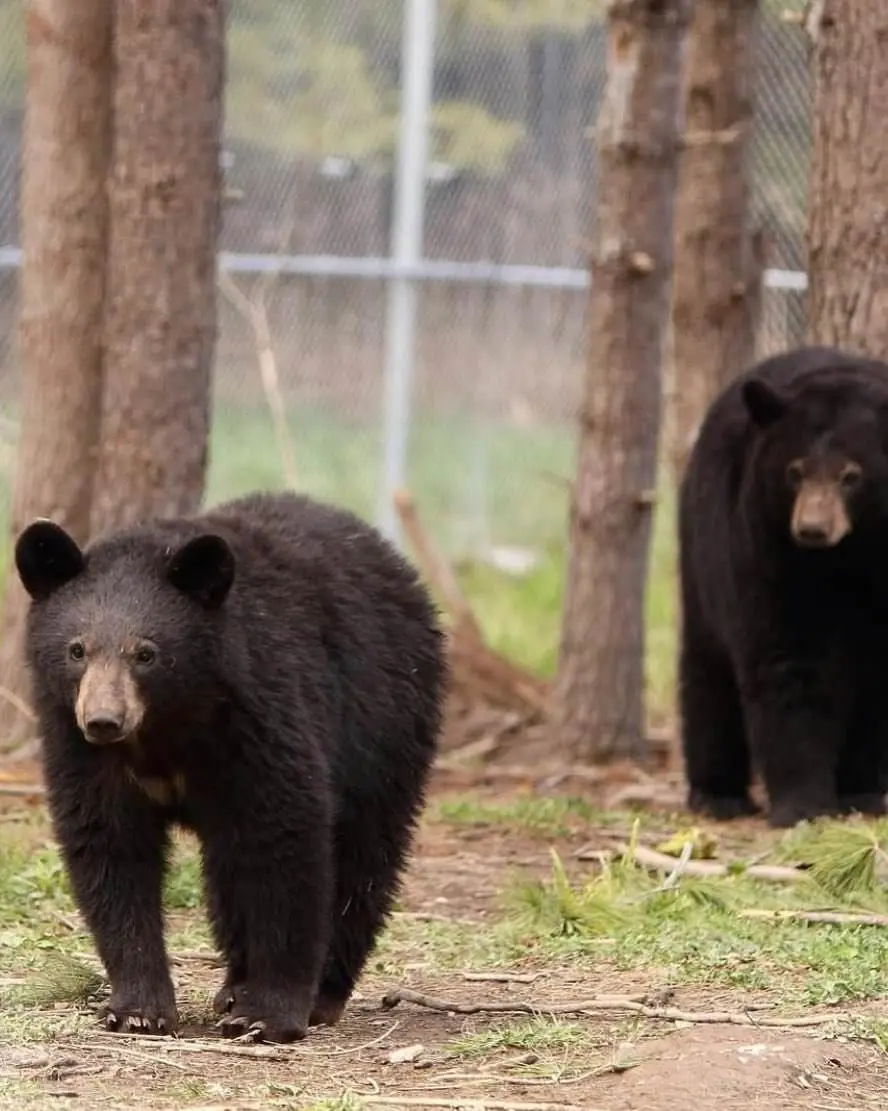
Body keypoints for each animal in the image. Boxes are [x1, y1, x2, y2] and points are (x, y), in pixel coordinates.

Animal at [14, 490, 448, 1042]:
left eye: (146, 654)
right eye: (77, 649)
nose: (104, 720)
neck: (166, 725)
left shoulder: (260, 715)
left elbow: (284, 842)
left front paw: (269, 1015)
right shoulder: (81, 752)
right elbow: (109, 848)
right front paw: (138, 1008)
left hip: (385, 721)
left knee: (363, 857)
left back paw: (322, 993)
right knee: (228, 871)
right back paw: (234, 985)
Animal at [679, 344, 888, 829]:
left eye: (852, 476)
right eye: (795, 472)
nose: (812, 529)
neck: (848, 557)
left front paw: (863, 790)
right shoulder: (765, 545)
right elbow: (788, 660)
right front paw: (804, 803)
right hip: (700, 552)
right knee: (707, 672)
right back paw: (717, 794)